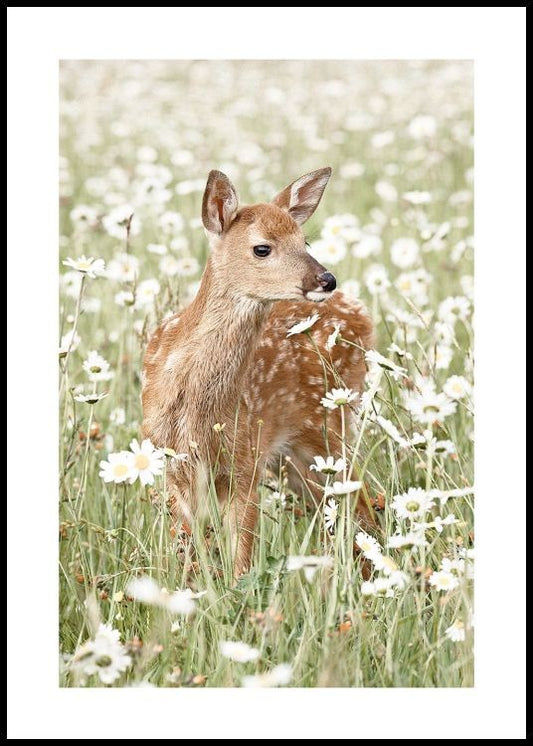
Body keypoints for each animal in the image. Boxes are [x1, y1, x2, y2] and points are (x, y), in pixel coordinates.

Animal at [141, 167, 375, 578]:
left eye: (304, 239)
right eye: (262, 248)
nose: (327, 279)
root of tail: (363, 314)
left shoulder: (246, 460)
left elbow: (241, 559)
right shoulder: (171, 465)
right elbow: (185, 551)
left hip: (329, 429)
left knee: (362, 501)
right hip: (297, 457)